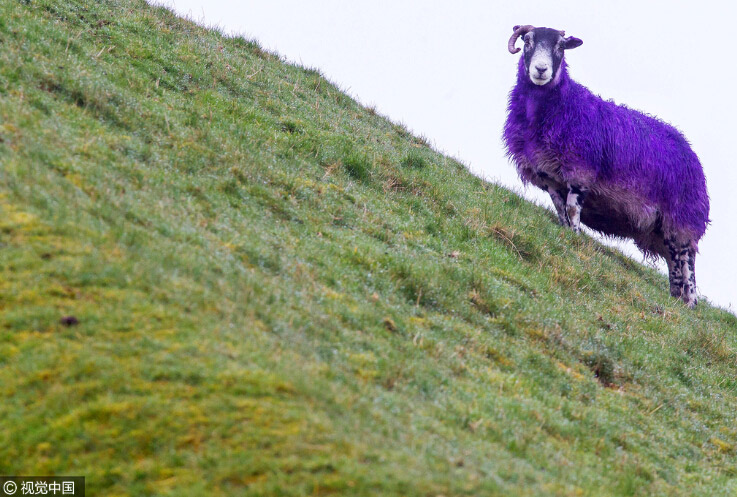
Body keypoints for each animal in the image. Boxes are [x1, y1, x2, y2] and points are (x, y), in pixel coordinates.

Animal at [504, 25, 712, 308]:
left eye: (560, 46)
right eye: (528, 41)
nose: (541, 70)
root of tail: (691, 154)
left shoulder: (580, 172)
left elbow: (572, 209)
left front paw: (576, 236)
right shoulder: (549, 176)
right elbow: (560, 210)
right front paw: (566, 233)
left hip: (682, 218)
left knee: (687, 261)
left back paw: (690, 303)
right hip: (663, 228)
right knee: (674, 265)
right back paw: (675, 299)